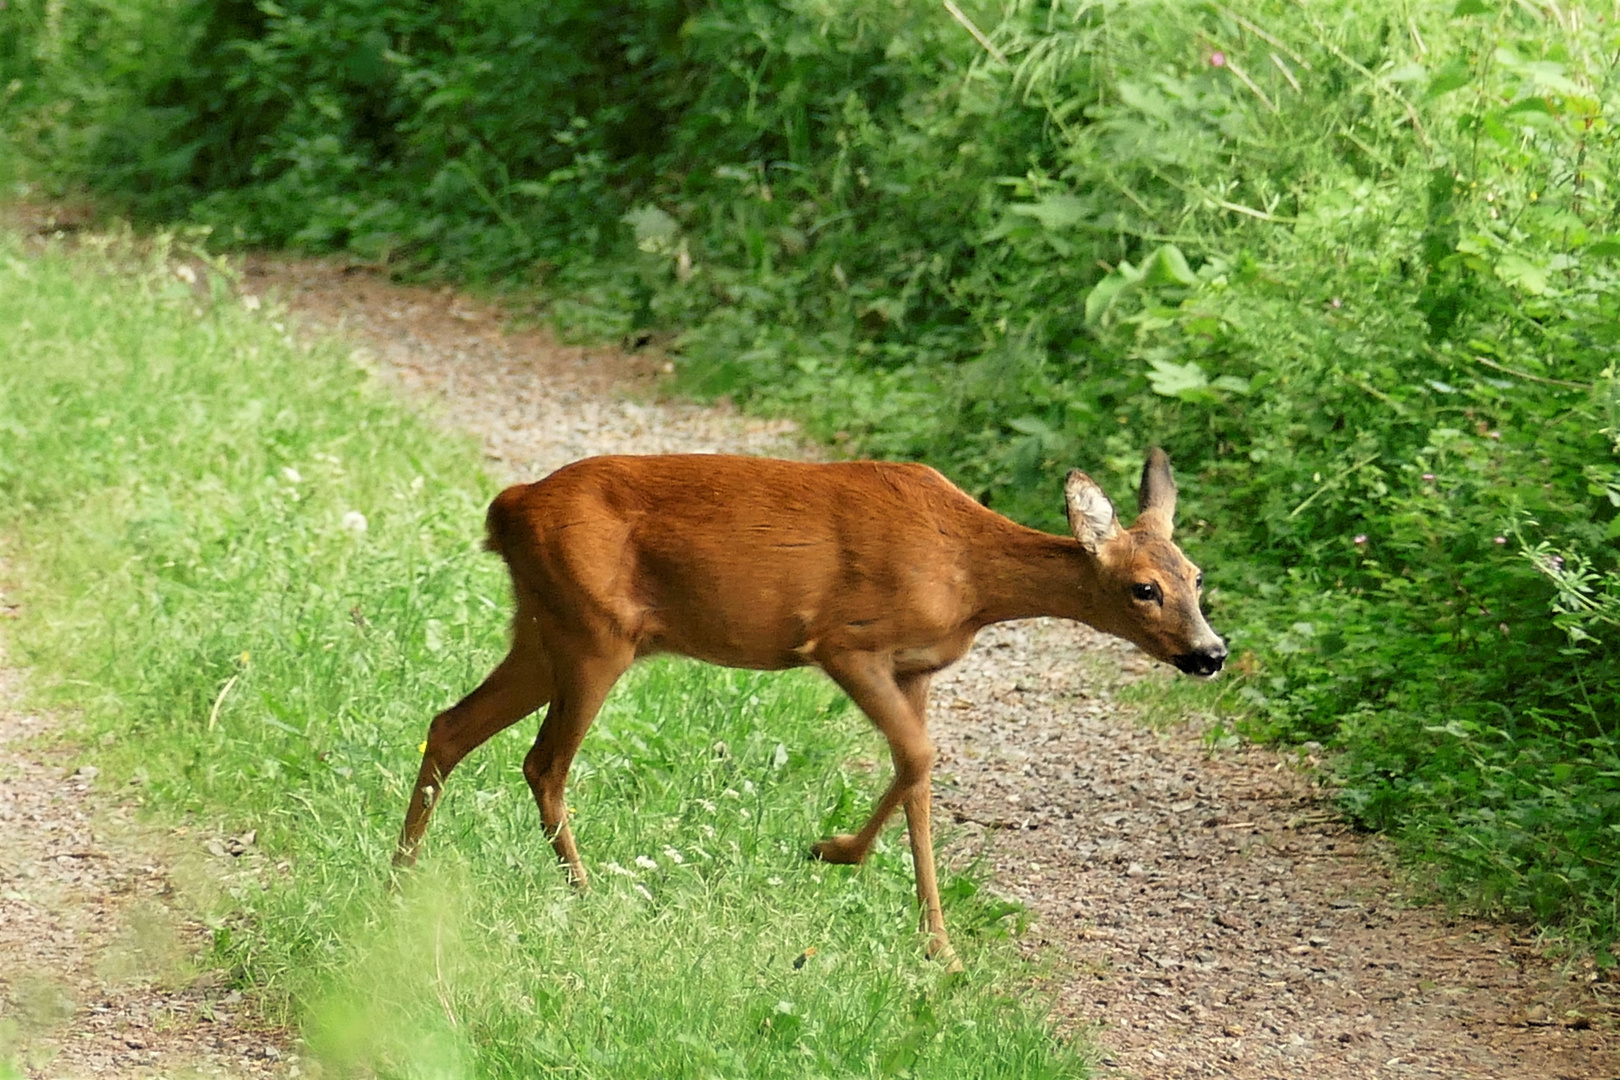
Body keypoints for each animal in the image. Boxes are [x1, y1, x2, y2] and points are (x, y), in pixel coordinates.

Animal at [398, 446, 1218, 971]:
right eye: (1144, 588)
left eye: (1198, 576)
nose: (1210, 653)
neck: (970, 576)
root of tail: (508, 507)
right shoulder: (846, 641)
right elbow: (920, 758)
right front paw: (833, 851)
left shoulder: (917, 668)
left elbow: (920, 785)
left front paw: (938, 946)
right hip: (593, 632)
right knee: (543, 762)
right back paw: (589, 896)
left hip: (547, 630)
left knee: (450, 726)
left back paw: (399, 876)